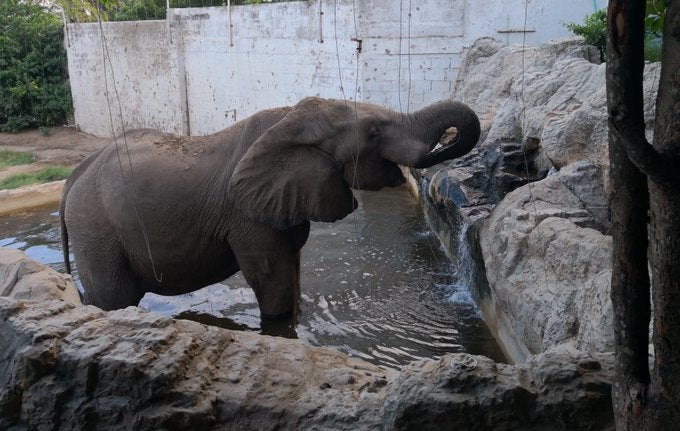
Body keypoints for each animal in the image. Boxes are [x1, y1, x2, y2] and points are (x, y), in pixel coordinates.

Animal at [60, 97, 480, 320]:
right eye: (374, 133)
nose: (431, 177)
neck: (290, 119)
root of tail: (73, 177)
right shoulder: (246, 216)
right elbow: (271, 278)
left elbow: (291, 269)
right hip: (96, 228)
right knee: (115, 298)